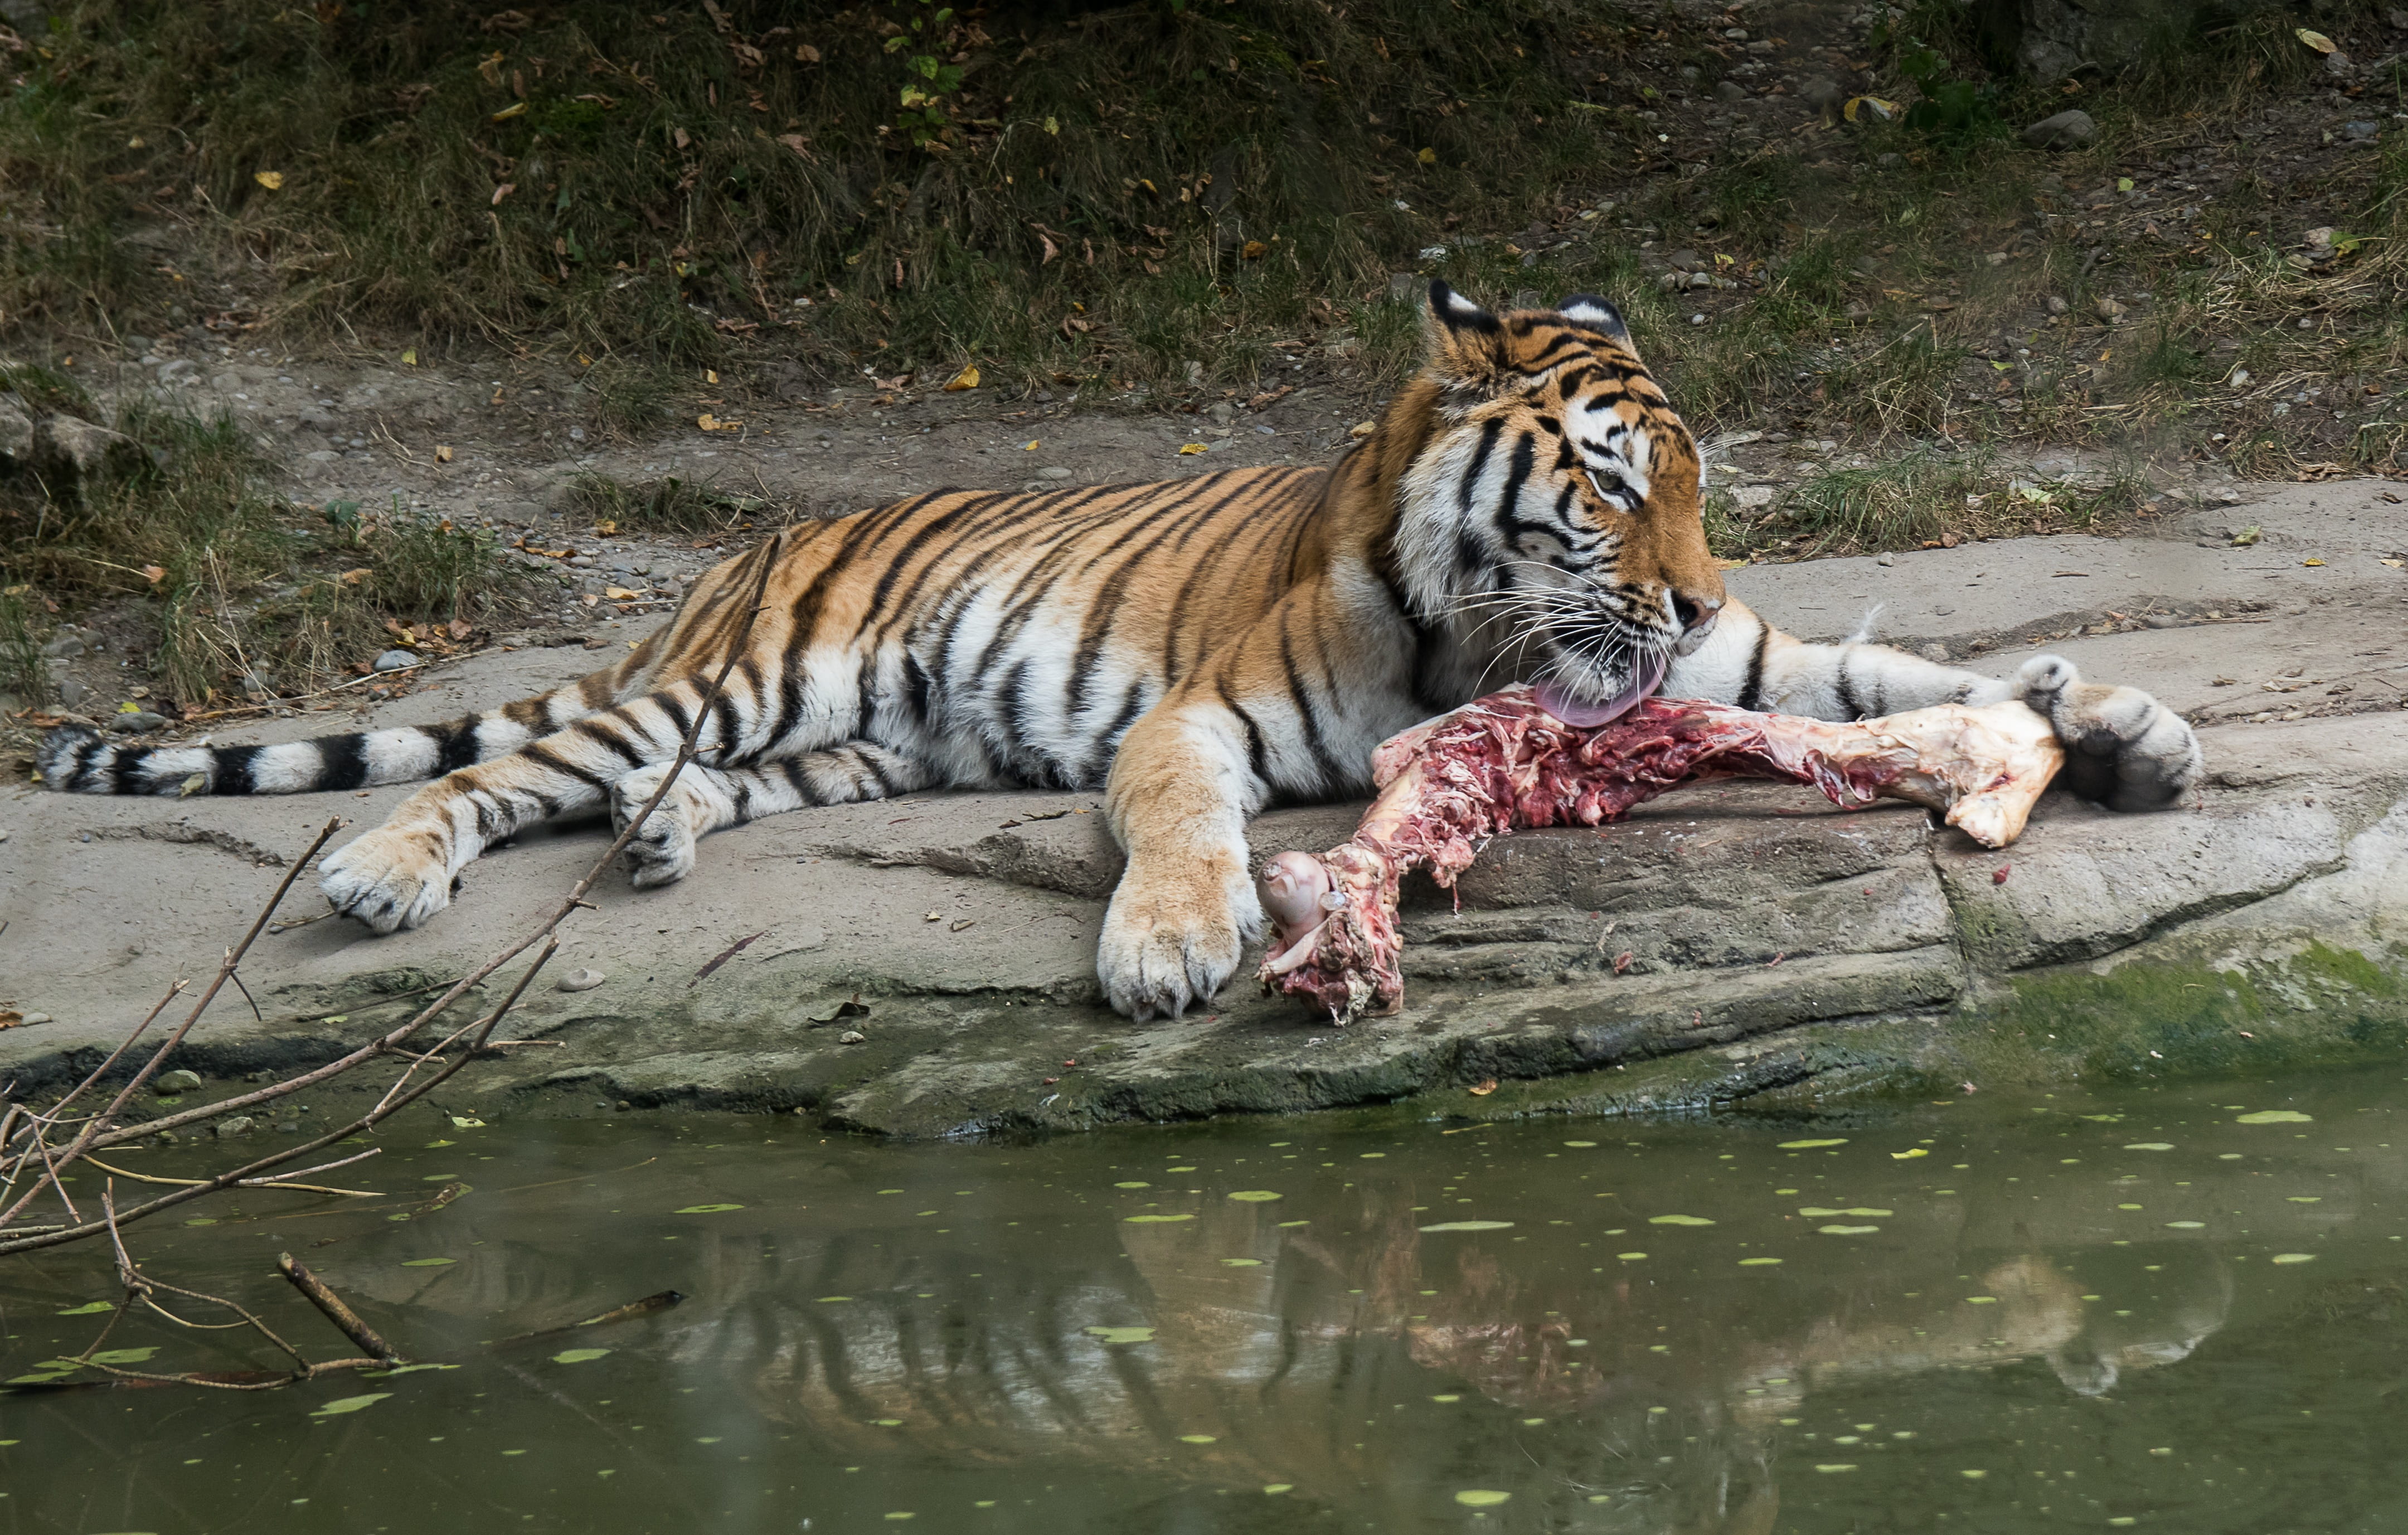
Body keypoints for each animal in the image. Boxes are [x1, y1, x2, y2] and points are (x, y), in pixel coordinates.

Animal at [38, 282, 2203, 1020]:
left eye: (1694, 489)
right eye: (1607, 483)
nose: (1673, 593)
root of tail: (744, 550)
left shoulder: (1743, 664)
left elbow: (1909, 677)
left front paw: (2123, 724)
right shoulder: (1199, 713)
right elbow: (1175, 811)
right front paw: (1170, 945)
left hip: (863, 740)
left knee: (682, 784)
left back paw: (660, 844)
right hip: (749, 678)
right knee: (505, 767)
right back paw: (379, 875)